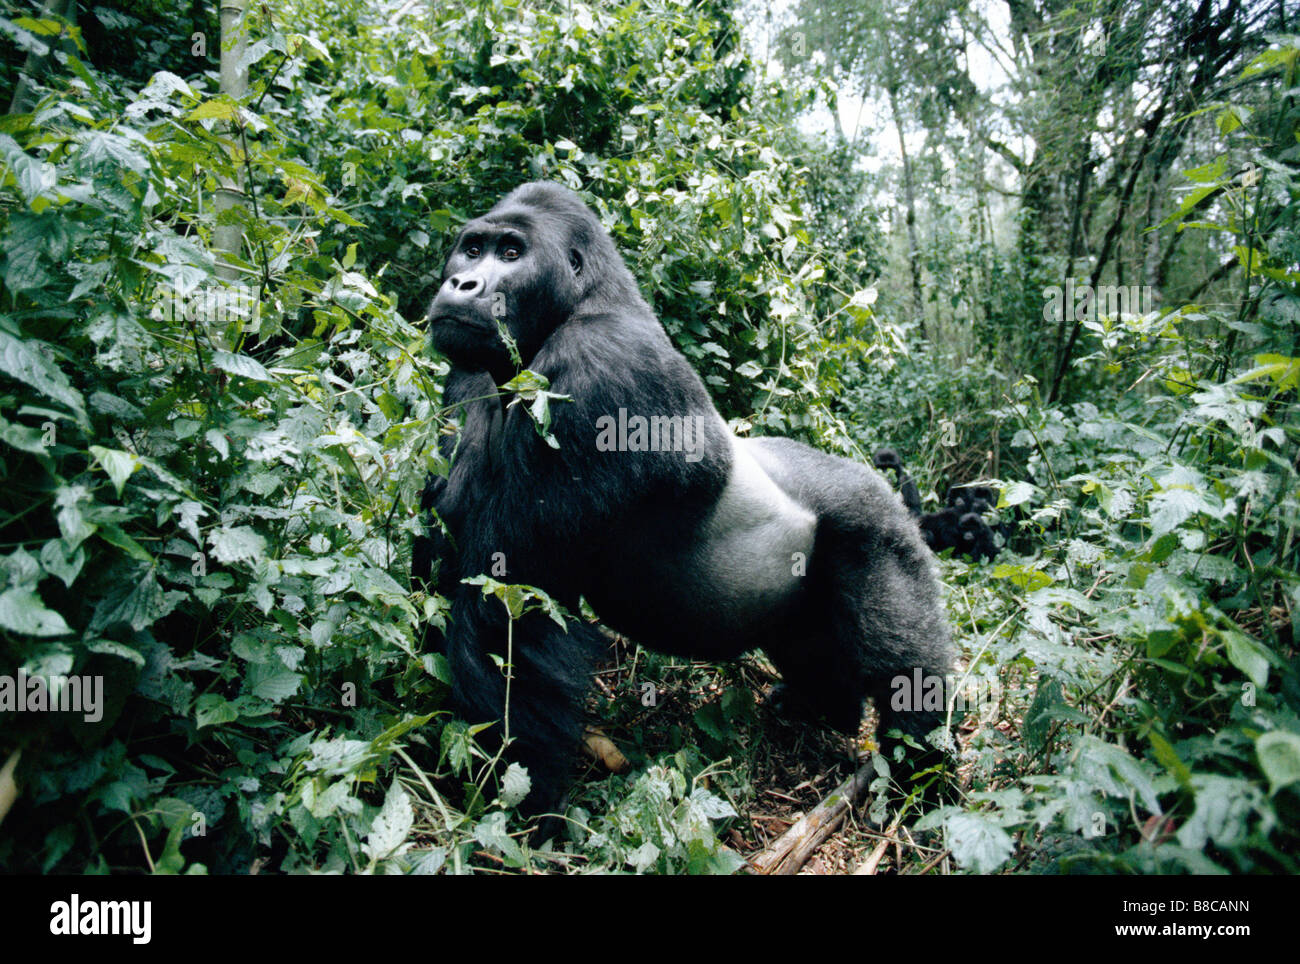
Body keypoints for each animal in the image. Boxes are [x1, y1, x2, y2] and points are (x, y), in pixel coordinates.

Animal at [416, 184, 956, 821]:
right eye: (471, 248)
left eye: (510, 253)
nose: (462, 282)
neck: (578, 303)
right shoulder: (469, 373)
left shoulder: (597, 373)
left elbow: (509, 609)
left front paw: (523, 803)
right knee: (813, 650)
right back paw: (820, 709)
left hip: (878, 533)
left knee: (904, 671)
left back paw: (922, 768)